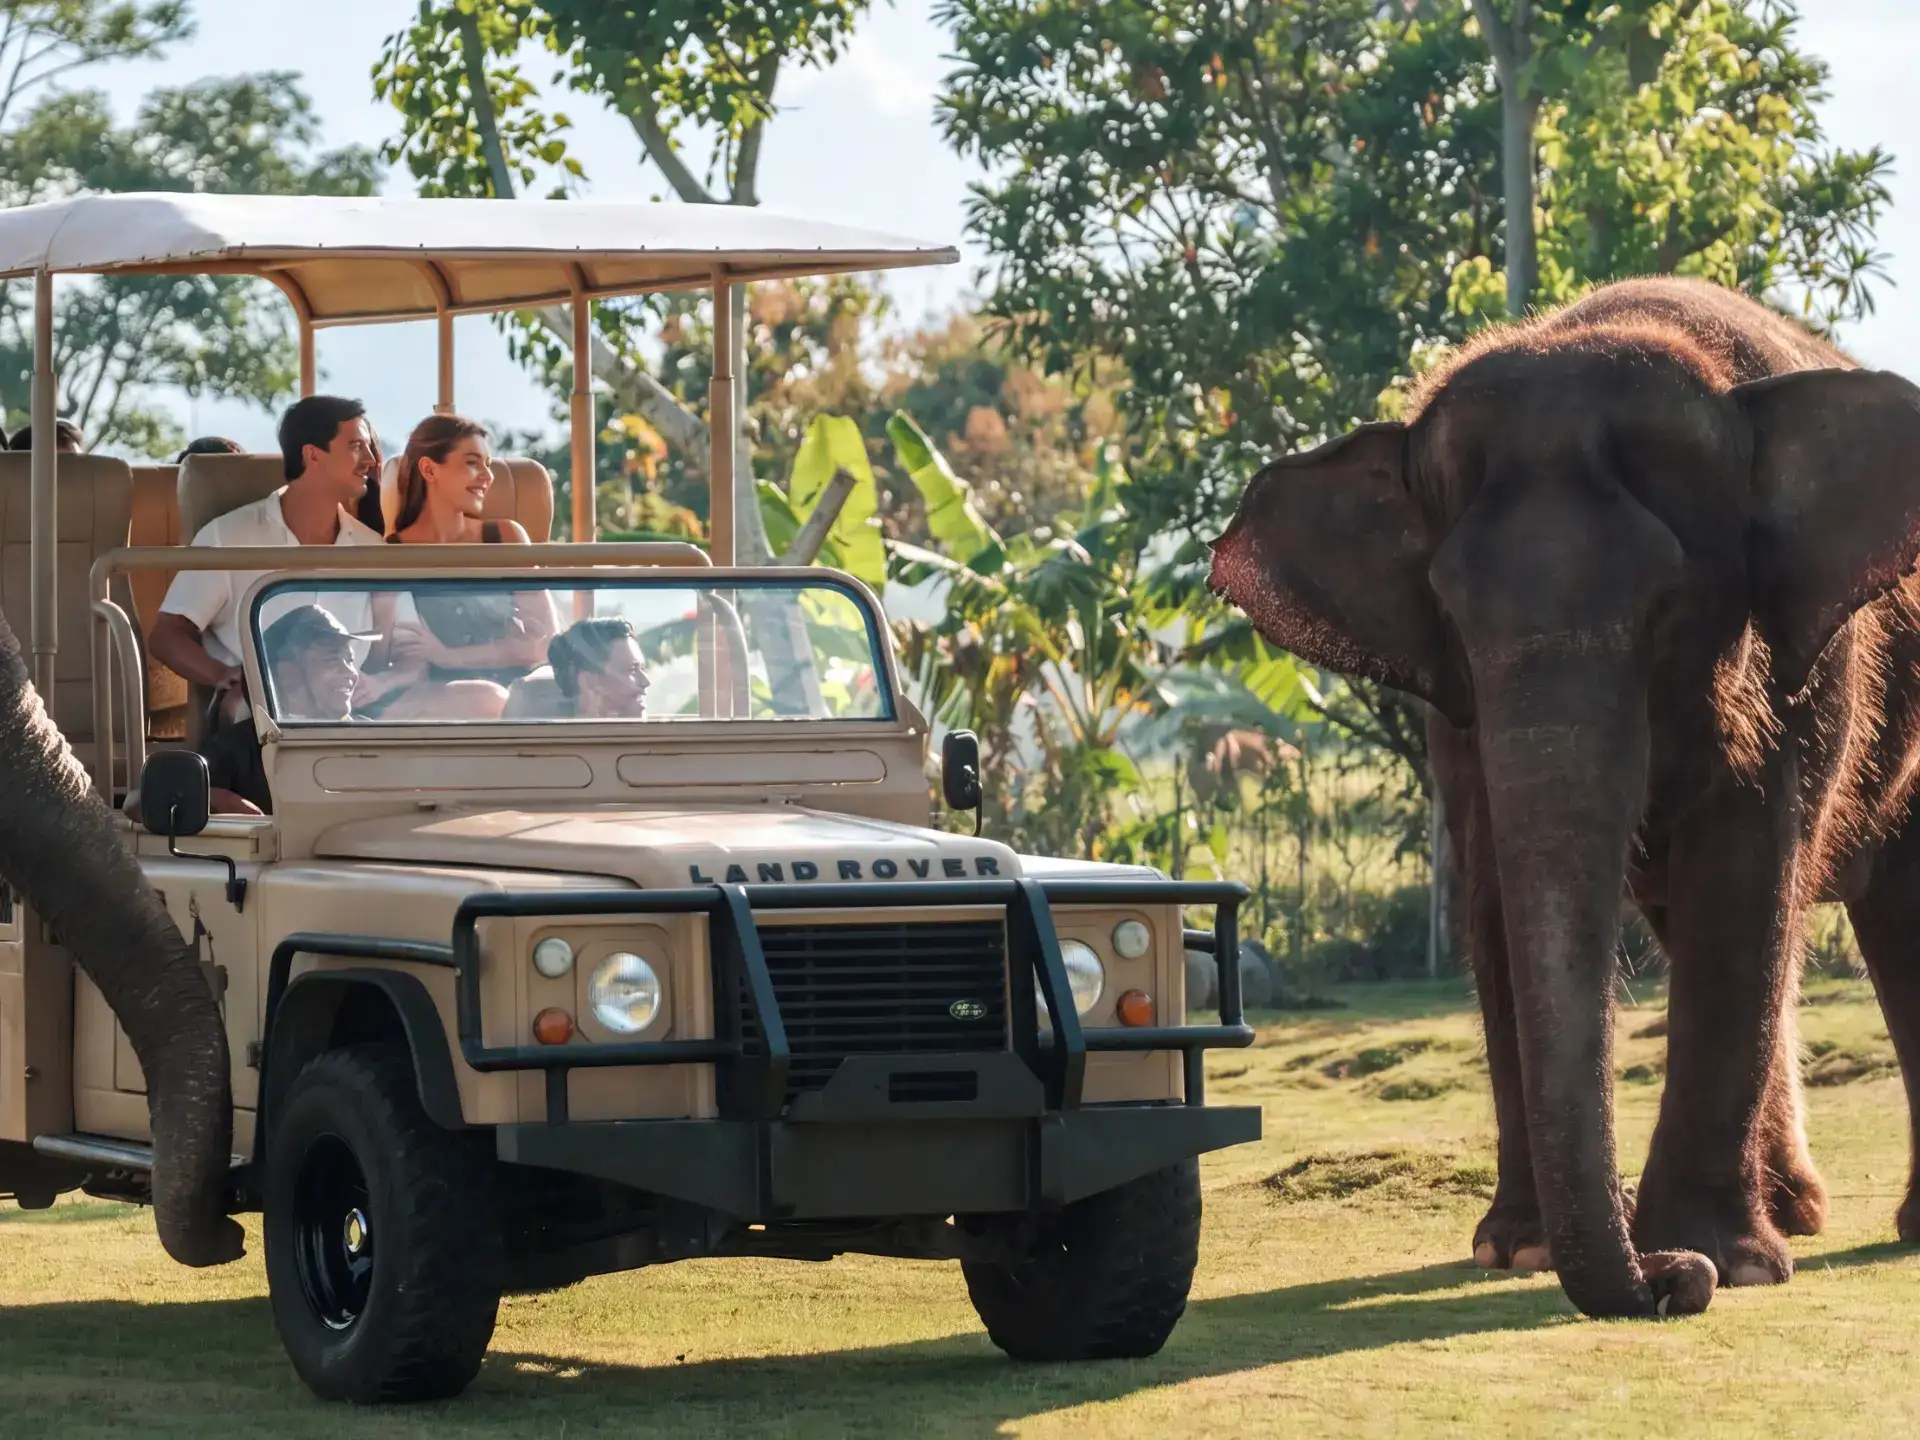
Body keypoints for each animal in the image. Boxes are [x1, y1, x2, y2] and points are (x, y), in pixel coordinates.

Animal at [1208, 275, 1920, 1319]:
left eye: (1669, 603)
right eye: (1450, 610)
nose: (1670, 1281)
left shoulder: (1806, 669)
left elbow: (1743, 876)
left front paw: (1728, 1259)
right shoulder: (1454, 715)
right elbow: (1494, 893)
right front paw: (1520, 1251)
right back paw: (1793, 1210)